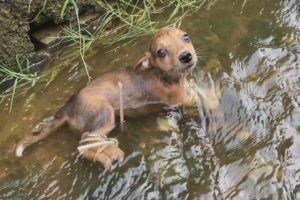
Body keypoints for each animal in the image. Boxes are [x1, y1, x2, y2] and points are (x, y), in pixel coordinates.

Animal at [17, 27, 199, 170]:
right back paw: (107, 156)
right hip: (104, 113)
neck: (165, 76)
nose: (186, 56)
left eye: (186, 36)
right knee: (85, 143)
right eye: (161, 52)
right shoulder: (180, 100)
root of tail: (68, 109)